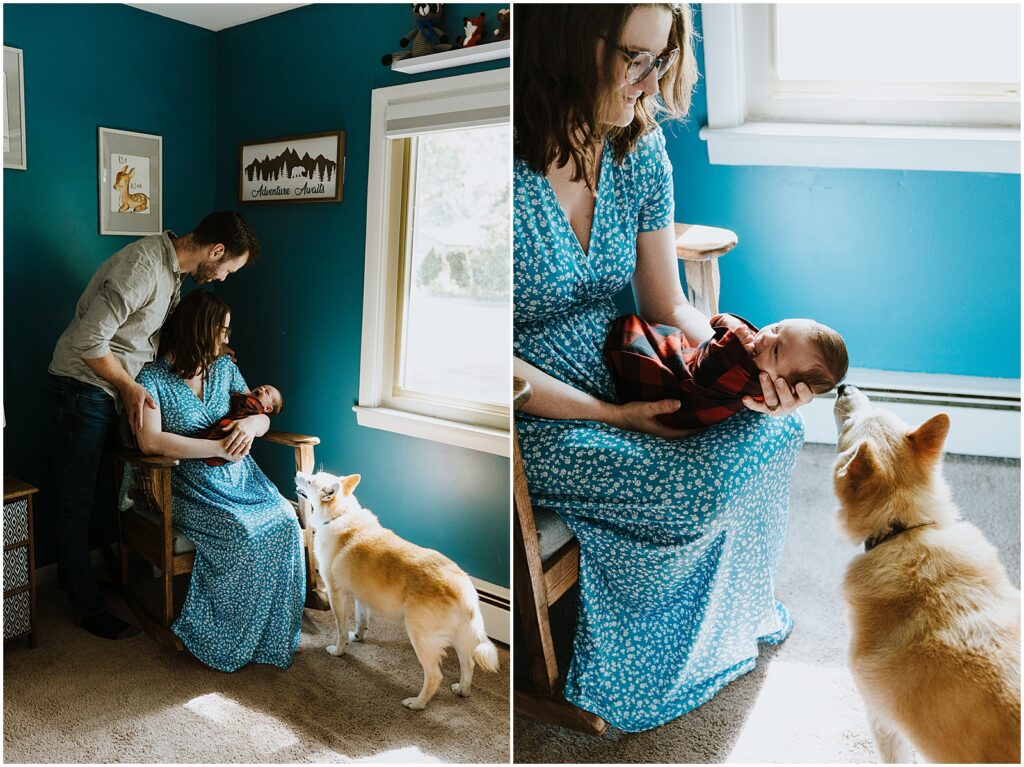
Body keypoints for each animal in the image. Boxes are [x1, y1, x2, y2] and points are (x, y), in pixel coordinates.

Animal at [294, 469, 497, 708]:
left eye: (309, 480)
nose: (298, 473)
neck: (340, 515)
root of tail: (465, 591)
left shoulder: (336, 594)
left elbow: (341, 629)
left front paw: (338, 650)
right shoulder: (361, 596)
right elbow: (361, 620)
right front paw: (358, 637)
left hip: (420, 637)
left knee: (434, 676)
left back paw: (417, 703)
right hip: (460, 638)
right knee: (468, 664)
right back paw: (462, 690)